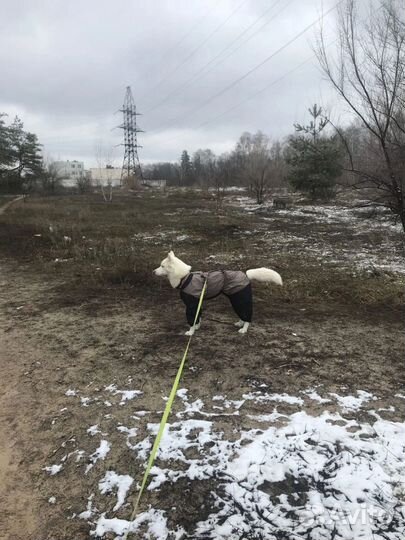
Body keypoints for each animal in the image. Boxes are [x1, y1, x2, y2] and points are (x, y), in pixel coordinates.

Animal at [153, 252, 282, 336]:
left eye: (162, 266)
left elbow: (192, 319)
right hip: (235, 299)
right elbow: (198, 317)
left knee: (247, 315)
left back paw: (244, 329)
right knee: (242, 313)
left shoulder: (191, 305)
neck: (184, 277)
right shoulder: (197, 303)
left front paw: (191, 332)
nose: (153, 271)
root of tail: (246, 275)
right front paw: (197, 327)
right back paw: (240, 323)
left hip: (240, 299)